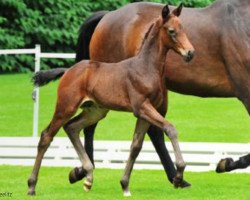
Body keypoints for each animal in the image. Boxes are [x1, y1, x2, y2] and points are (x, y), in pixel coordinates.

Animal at [28, 3, 194, 196]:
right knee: (46, 136)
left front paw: (125, 184)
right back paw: (31, 186)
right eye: (172, 31)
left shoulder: (145, 112)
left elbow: (136, 146)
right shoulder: (142, 107)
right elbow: (170, 128)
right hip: (66, 107)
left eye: (183, 29)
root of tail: (68, 70)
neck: (145, 67)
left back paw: (88, 178)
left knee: (71, 127)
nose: (190, 53)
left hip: (95, 111)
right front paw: (179, 176)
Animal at [73, 0, 248, 177]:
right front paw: (226, 163)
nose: (190, 53)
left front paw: (226, 163)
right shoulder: (246, 93)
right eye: (172, 31)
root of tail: (107, 16)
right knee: (92, 125)